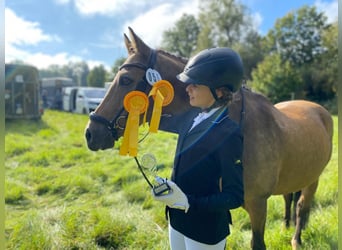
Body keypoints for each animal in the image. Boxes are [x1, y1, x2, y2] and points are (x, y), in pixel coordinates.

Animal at [84, 27, 332, 250]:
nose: (90, 133)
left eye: (125, 80)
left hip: (314, 179)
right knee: (290, 199)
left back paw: (296, 240)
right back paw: (286, 227)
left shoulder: (258, 204)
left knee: (302, 206)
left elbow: (257, 243)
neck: (240, 125)